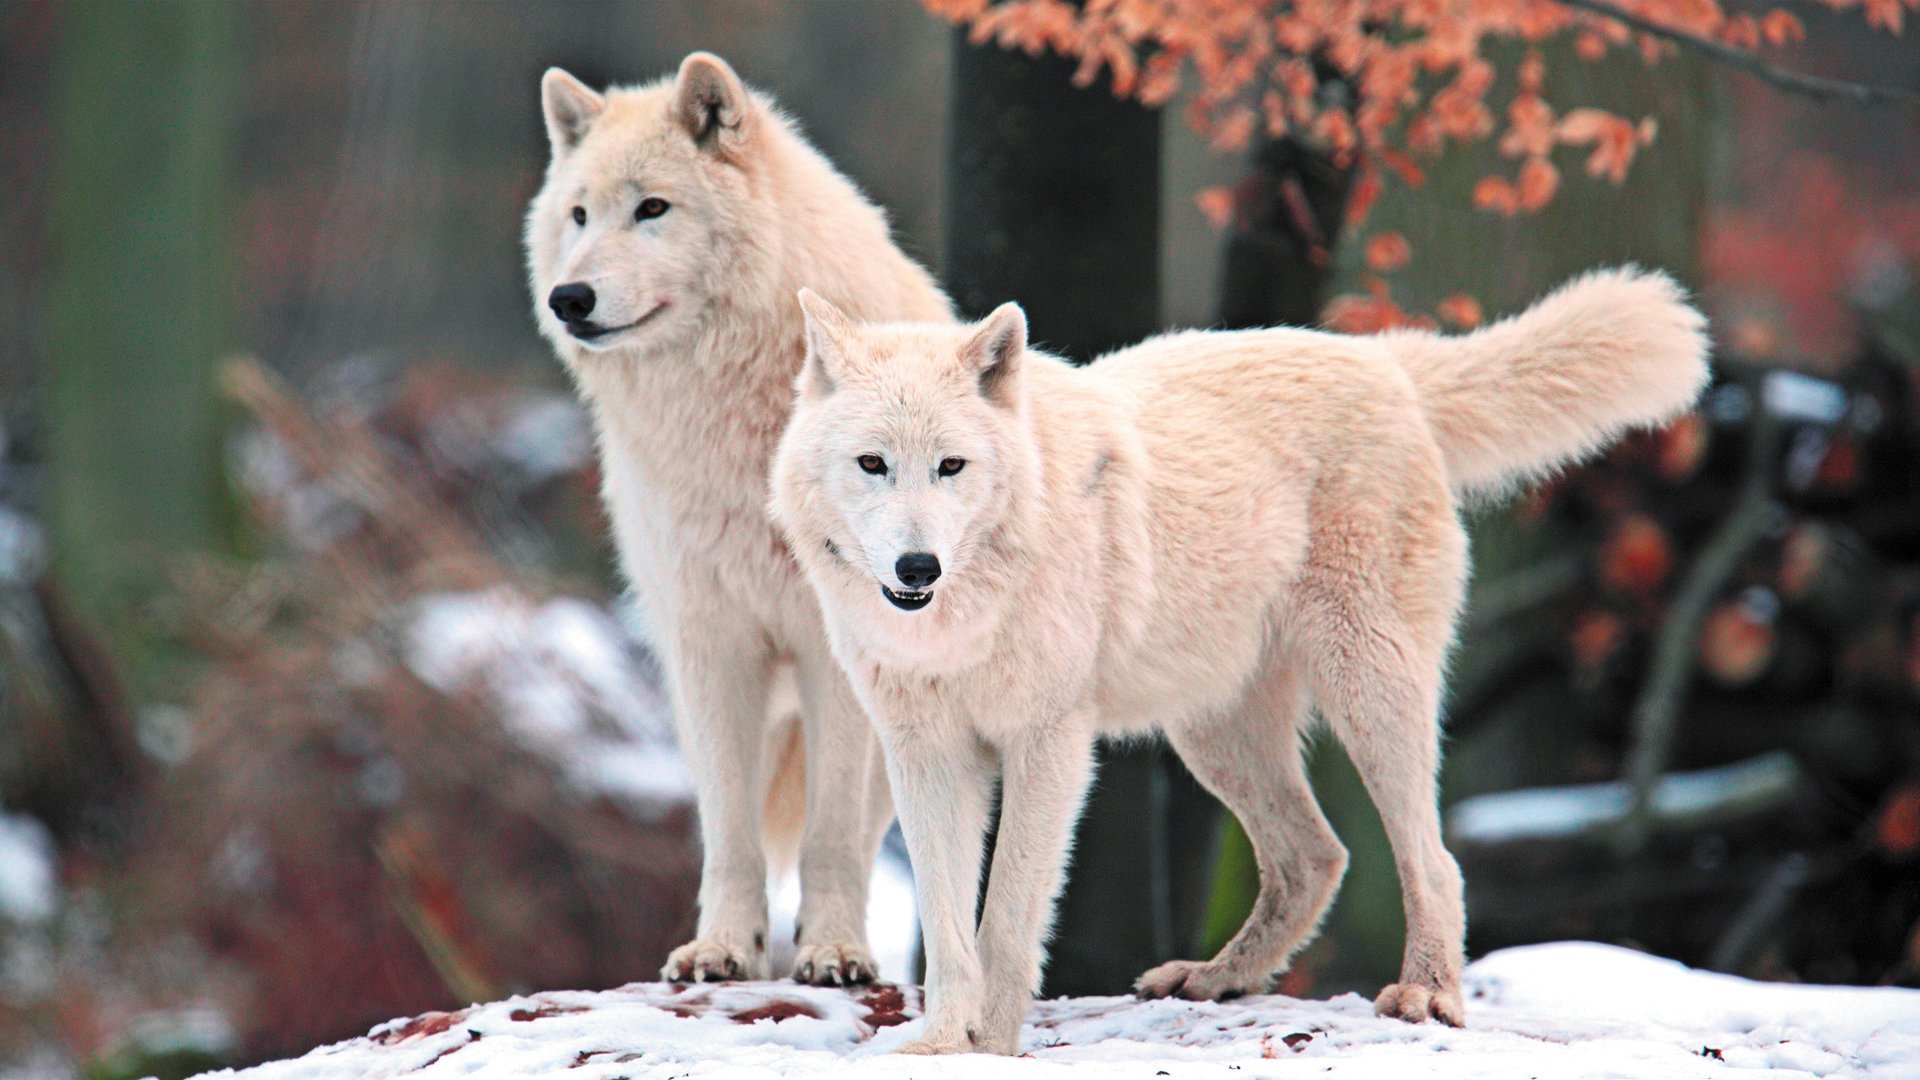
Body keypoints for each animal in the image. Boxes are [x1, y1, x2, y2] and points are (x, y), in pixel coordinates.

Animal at [525, 53, 951, 985]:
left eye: (652, 208)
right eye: (580, 214)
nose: (569, 297)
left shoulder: (835, 654)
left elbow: (830, 833)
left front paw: (834, 951)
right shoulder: (710, 642)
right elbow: (729, 830)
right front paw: (723, 949)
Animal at [770, 269, 1710, 1052]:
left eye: (952, 467)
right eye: (873, 464)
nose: (916, 568)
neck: (963, 618)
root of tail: (1384, 362)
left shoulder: (1050, 745)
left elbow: (1005, 919)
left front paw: (993, 1047)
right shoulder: (927, 753)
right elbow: (947, 919)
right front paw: (943, 1043)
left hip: (1367, 693)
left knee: (1432, 859)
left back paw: (1427, 994)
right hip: (1214, 735)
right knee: (1316, 857)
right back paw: (1217, 978)